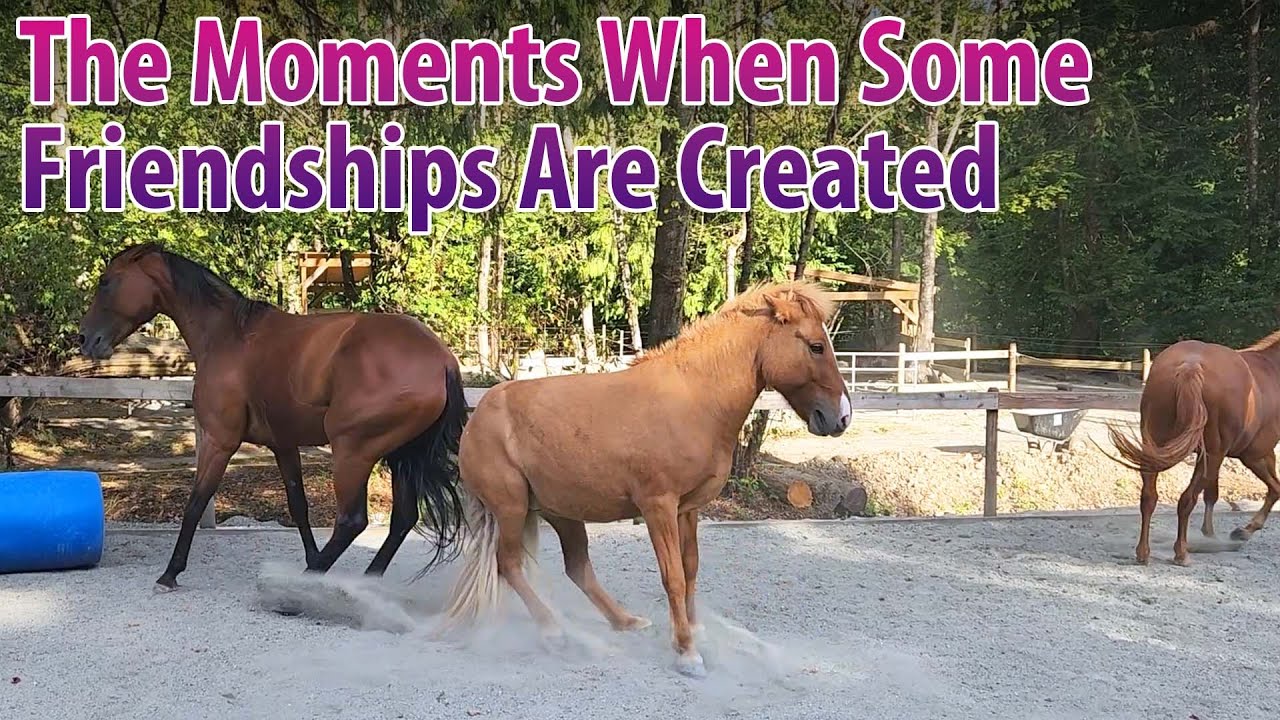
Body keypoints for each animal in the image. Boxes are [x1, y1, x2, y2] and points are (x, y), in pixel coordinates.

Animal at [78, 243, 468, 591]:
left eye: (106, 281)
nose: (84, 339)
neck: (228, 336)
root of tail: (442, 360)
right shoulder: (283, 445)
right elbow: (298, 507)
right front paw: (310, 555)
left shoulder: (220, 441)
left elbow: (196, 502)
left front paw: (170, 573)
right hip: (402, 455)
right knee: (403, 518)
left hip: (354, 451)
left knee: (351, 521)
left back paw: (308, 582)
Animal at [433, 281, 851, 677]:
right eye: (816, 346)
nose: (841, 417)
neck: (693, 399)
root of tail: (478, 416)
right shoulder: (658, 507)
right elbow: (674, 577)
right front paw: (687, 654)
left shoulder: (687, 510)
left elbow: (691, 568)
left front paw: (692, 632)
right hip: (511, 507)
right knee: (509, 564)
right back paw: (554, 632)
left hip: (560, 512)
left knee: (577, 569)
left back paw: (626, 621)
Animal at [1108, 331, 1280, 566]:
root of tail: (1190, 366)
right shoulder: (1256, 456)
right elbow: (1275, 489)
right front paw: (1242, 532)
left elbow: (1213, 495)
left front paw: (1211, 535)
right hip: (1214, 455)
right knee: (1186, 500)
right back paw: (1181, 553)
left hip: (1156, 448)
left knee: (1149, 497)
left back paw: (1143, 552)